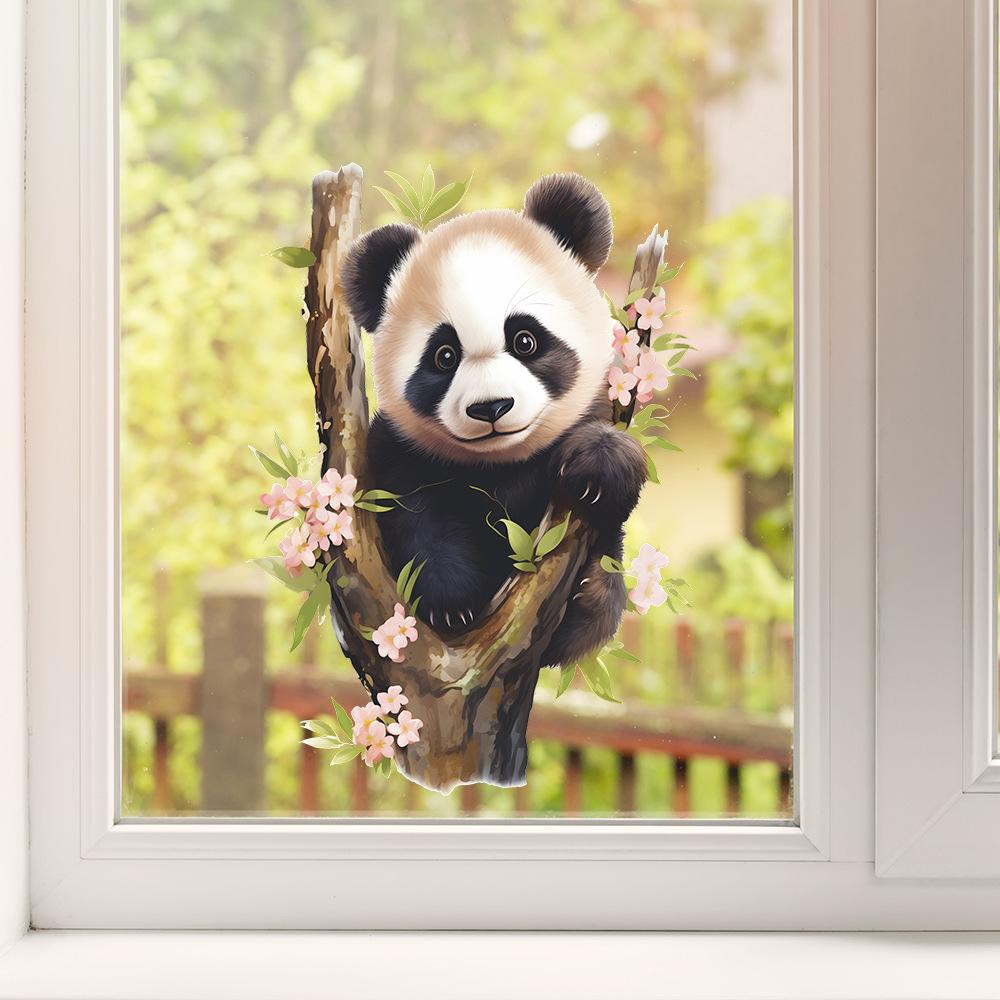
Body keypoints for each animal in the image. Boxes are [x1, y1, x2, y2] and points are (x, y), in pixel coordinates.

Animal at [341, 173, 647, 667]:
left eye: (525, 340)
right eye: (444, 356)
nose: (491, 408)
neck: (499, 461)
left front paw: (599, 467)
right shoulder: (399, 449)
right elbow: (415, 516)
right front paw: (452, 601)